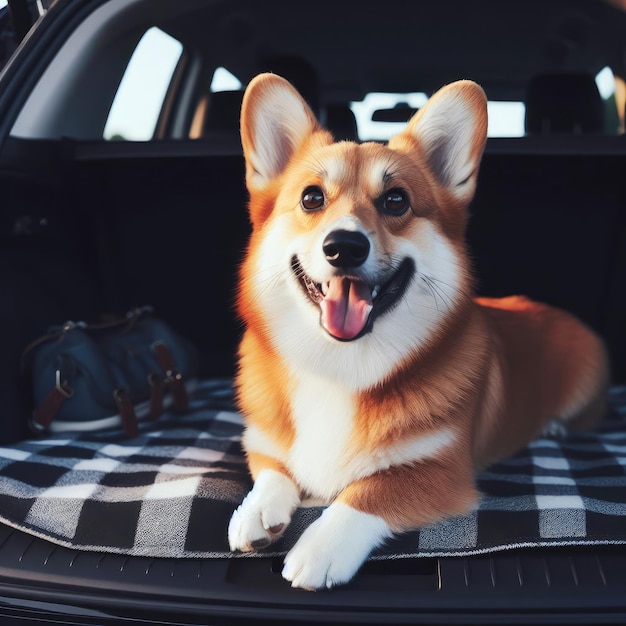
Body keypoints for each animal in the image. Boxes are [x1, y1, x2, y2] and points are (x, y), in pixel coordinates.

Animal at [227, 73, 608, 588]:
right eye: (311, 198)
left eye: (396, 200)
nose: (343, 246)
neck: (340, 365)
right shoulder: (265, 442)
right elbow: (273, 471)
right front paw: (255, 511)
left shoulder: (443, 470)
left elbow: (369, 491)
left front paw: (319, 549)